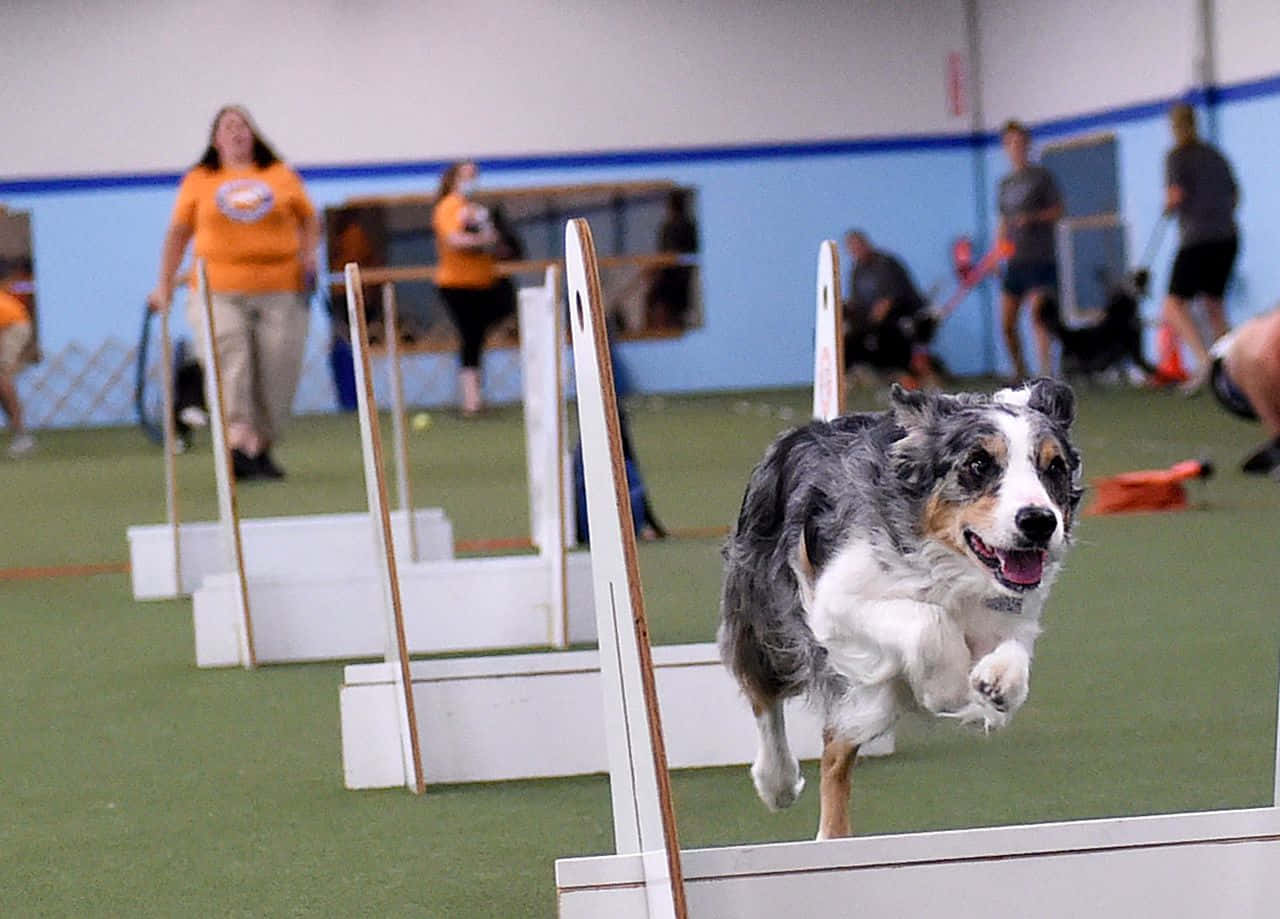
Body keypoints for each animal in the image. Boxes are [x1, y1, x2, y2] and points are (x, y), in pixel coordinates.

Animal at [721, 378, 1080, 839]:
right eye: (978, 463)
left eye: (1054, 467)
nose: (1039, 521)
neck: (951, 567)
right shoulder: (835, 602)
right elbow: (928, 620)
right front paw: (947, 686)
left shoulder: (1012, 610)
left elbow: (1014, 649)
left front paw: (996, 684)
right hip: (767, 617)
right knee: (762, 694)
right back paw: (777, 782)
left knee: (836, 745)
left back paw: (831, 836)